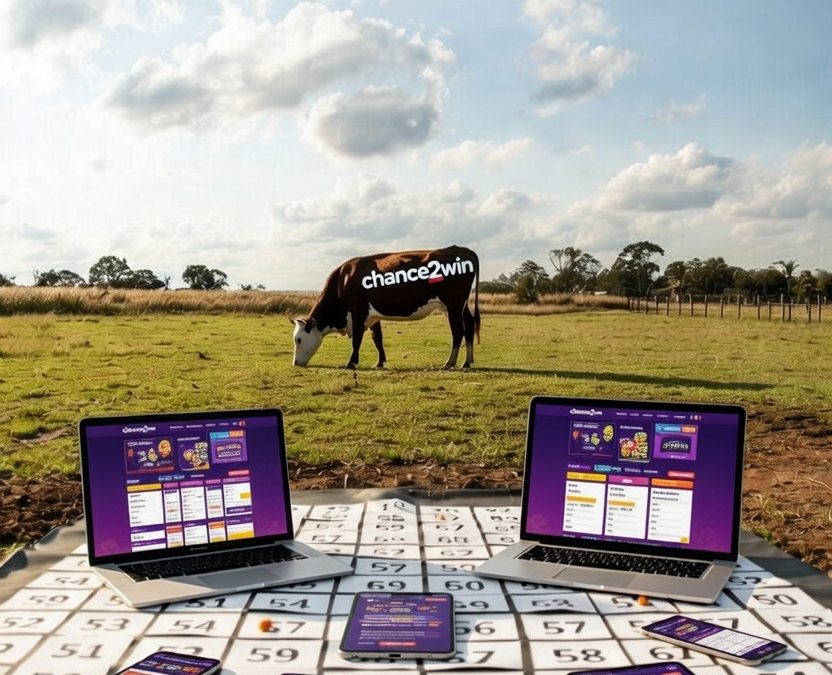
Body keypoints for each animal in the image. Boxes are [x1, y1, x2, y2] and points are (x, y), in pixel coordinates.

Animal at [291, 246, 480, 369]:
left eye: (298, 339)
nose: (295, 363)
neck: (343, 281)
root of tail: (461, 249)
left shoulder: (358, 312)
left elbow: (357, 339)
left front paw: (351, 362)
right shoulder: (373, 316)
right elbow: (377, 338)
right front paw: (380, 362)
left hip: (453, 305)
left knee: (458, 331)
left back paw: (450, 363)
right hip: (461, 306)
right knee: (469, 325)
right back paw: (467, 362)